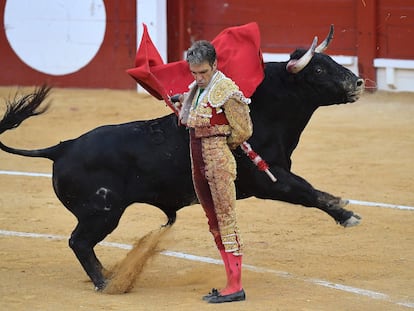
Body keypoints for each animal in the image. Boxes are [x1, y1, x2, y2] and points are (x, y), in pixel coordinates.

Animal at [0, 50, 362, 292]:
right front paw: (347, 215)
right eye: (318, 68)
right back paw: (107, 282)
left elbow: (307, 189)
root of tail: (62, 147)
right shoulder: (267, 179)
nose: (358, 81)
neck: (263, 111)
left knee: (82, 244)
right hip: (101, 213)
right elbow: (306, 191)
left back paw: (110, 276)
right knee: (79, 242)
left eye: (331, 61)